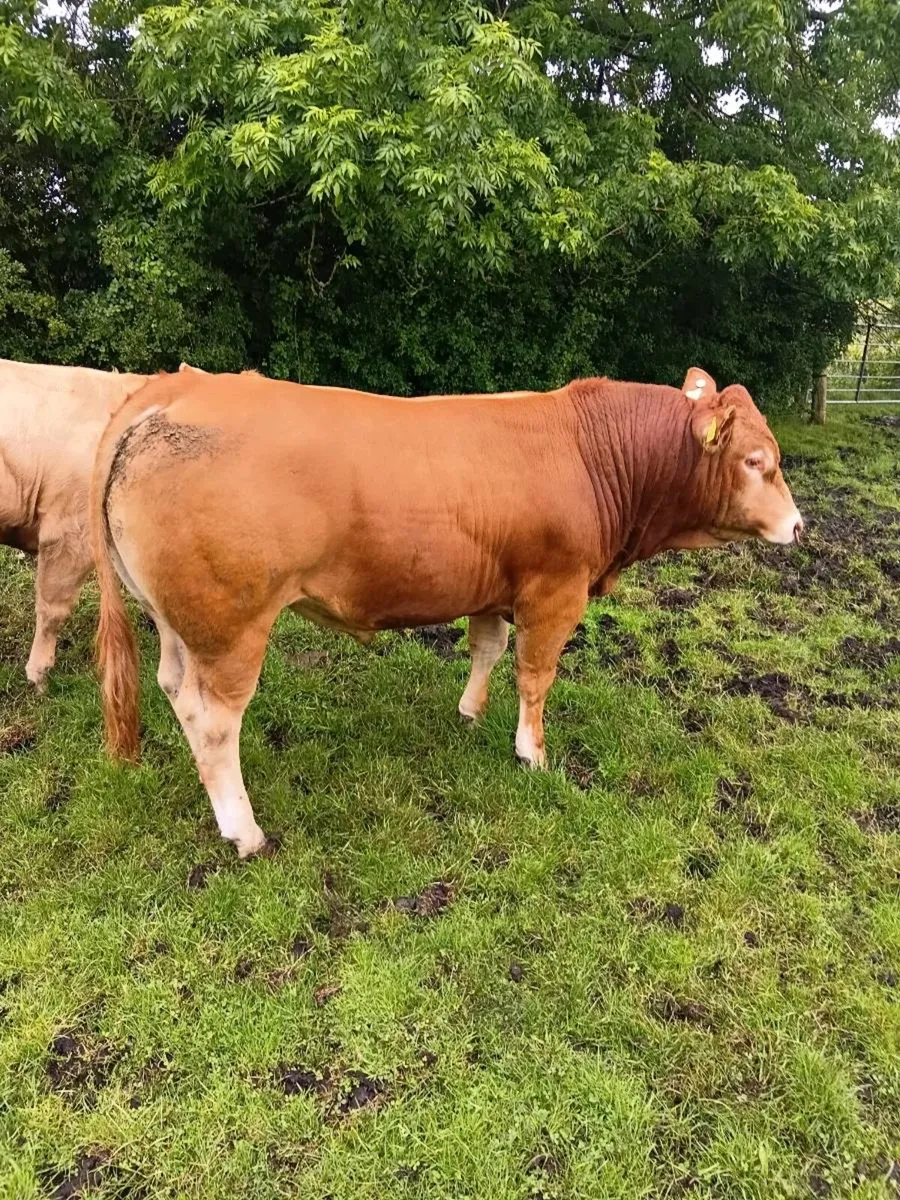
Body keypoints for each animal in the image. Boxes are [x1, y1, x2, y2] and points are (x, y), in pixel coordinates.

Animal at [91, 367, 803, 858]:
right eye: (756, 461)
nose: (798, 525)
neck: (588, 449)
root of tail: (175, 387)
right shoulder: (555, 589)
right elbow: (535, 674)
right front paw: (532, 753)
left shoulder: (493, 587)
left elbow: (487, 647)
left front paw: (469, 712)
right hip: (232, 628)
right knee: (215, 722)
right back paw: (244, 830)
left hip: (177, 624)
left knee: (175, 691)